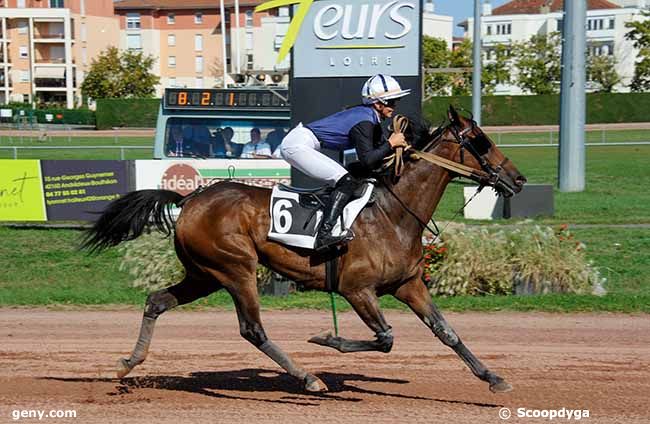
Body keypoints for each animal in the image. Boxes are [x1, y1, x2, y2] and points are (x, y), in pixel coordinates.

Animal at [83, 105, 524, 394]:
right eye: (480, 142)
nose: (517, 180)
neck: (394, 214)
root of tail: (189, 199)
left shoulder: (408, 284)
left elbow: (447, 332)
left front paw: (493, 378)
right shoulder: (356, 289)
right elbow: (385, 338)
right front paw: (327, 340)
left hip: (204, 274)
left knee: (156, 301)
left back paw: (127, 363)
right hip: (235, 269)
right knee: (252, 329)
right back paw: (308, 378)